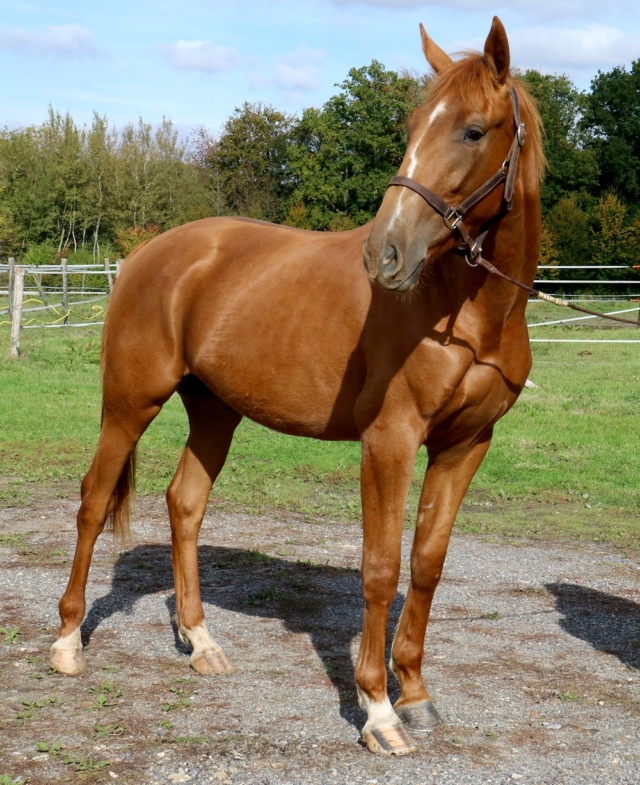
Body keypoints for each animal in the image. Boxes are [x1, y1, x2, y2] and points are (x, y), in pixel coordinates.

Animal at [50, 18, 544, 752]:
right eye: (412, 124)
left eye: (473, 130)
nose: (385, 255)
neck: (462, 311)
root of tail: (148, 253)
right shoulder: (390, 440)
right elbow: (380, 567)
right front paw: (377, 709)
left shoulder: (466, 444)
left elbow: (426, 565)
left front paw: (416, 694)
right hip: (130, 403)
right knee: (91, 500)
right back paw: (66, 642)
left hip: (215, 411)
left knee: (184, 502)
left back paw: (201, 642)